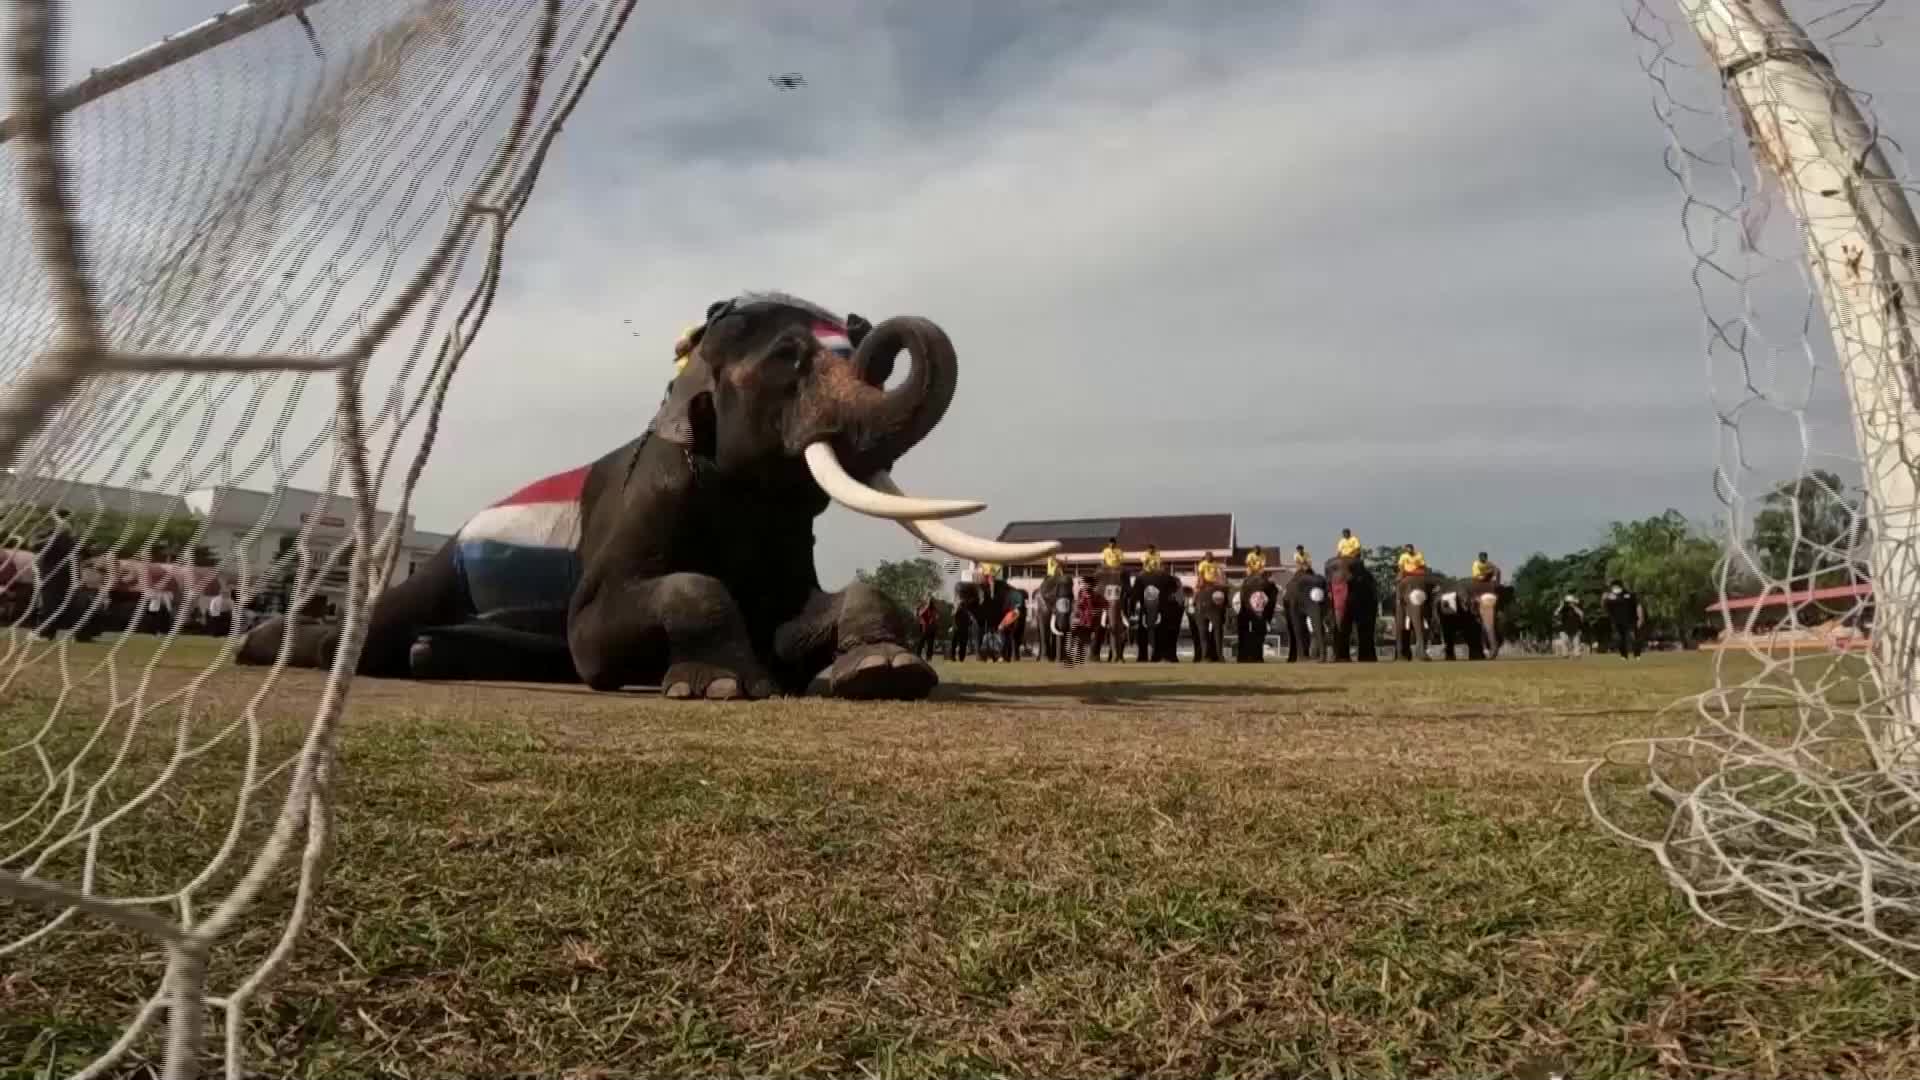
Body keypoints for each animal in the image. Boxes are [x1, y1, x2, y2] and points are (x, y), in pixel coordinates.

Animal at [236, 292, 1067, 699]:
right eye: (790, 360)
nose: (870, 326)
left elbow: (796, 616)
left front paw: (879, 675)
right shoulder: (647, 496)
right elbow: (606, 630)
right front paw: (719, 688)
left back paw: (430, 656)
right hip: (446, 565)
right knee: (381, 621)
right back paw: (280, 650)